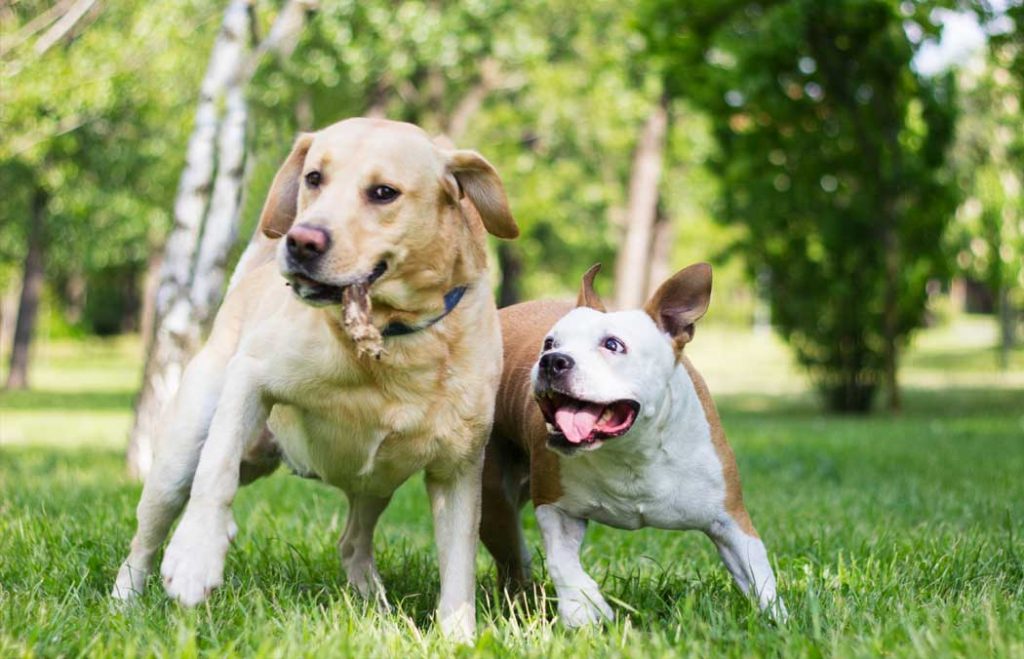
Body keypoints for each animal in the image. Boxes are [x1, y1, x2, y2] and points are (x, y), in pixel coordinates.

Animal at [114, 115, 520, 642]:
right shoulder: (252, 375)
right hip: (180, 455)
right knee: (149, 530)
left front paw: (457, 639)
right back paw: (124, 600)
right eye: (313, 178)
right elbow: (215, 474)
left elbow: (459, 568)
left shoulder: (459, 469)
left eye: (383, 192)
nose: (301, 240)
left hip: (376, 481)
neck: (389, 341)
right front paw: (196, 557)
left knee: (352, 541)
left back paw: (374, 605)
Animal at [479, 264, 782, 626]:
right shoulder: (556, 508)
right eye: (549, 342)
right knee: (514, 561)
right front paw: (584, 609)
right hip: (495, 507)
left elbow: (759, 577)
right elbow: (563, 563)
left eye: (613, 344)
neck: (631, 451)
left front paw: (779, 621)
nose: (553, 360)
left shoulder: (731, 521)